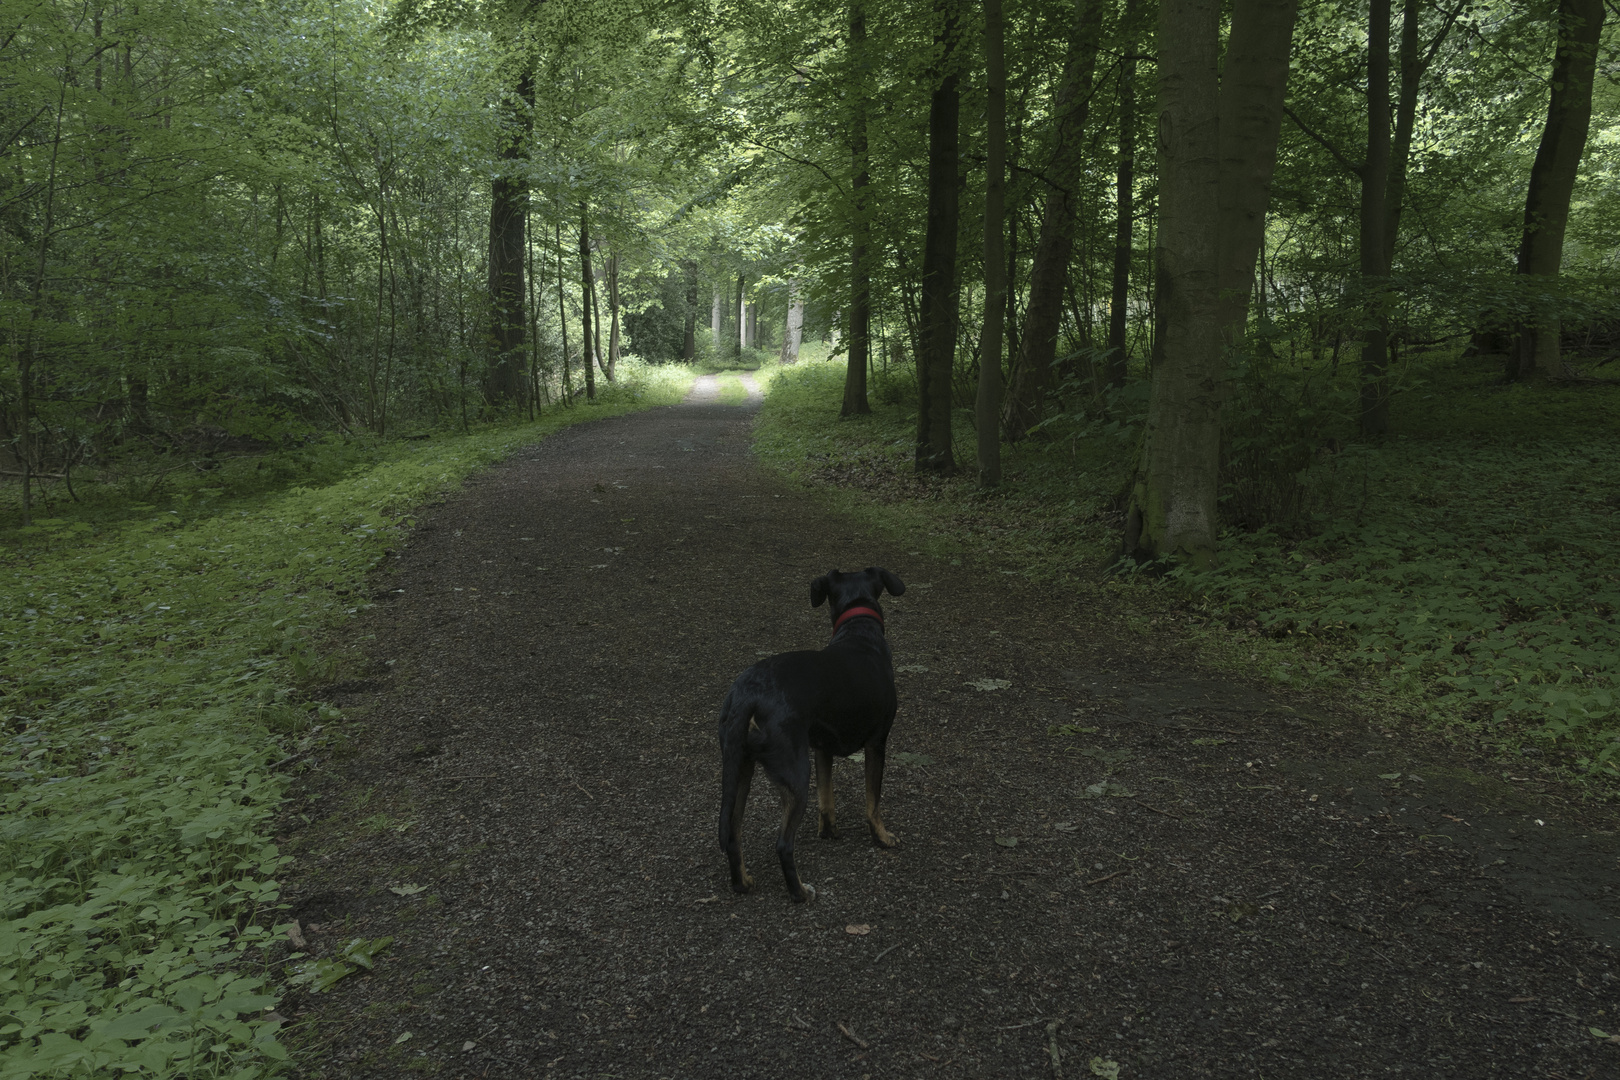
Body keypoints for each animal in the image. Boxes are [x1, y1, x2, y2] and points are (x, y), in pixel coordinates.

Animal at [716, 566, 907, 906]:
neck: (859, 631)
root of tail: (747, 695)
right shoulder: (877, 744)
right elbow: (873, 802)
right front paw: (882, 838)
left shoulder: (821, 748)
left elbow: (827, 798)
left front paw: (829, 831)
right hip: (795, 775)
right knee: (783, 844)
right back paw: (800, 892)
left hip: (739, 770)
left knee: (733, 833)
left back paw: (743, 883)